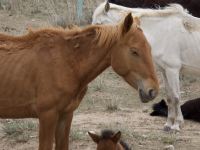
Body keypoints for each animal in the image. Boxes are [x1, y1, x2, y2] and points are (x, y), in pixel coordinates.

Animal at [0, 13, 159, 149]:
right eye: (134, 51)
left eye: (149, 48)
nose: (153, 91)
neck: (67, 62)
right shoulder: (47, 116)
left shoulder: (66, 115)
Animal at [93, 1, 200, 131]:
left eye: (99, 24)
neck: (161, 32)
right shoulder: (164, 71)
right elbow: (169, 97)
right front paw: (168, 124)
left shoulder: (172, 70)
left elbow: (176, 97)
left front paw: (176, 125)